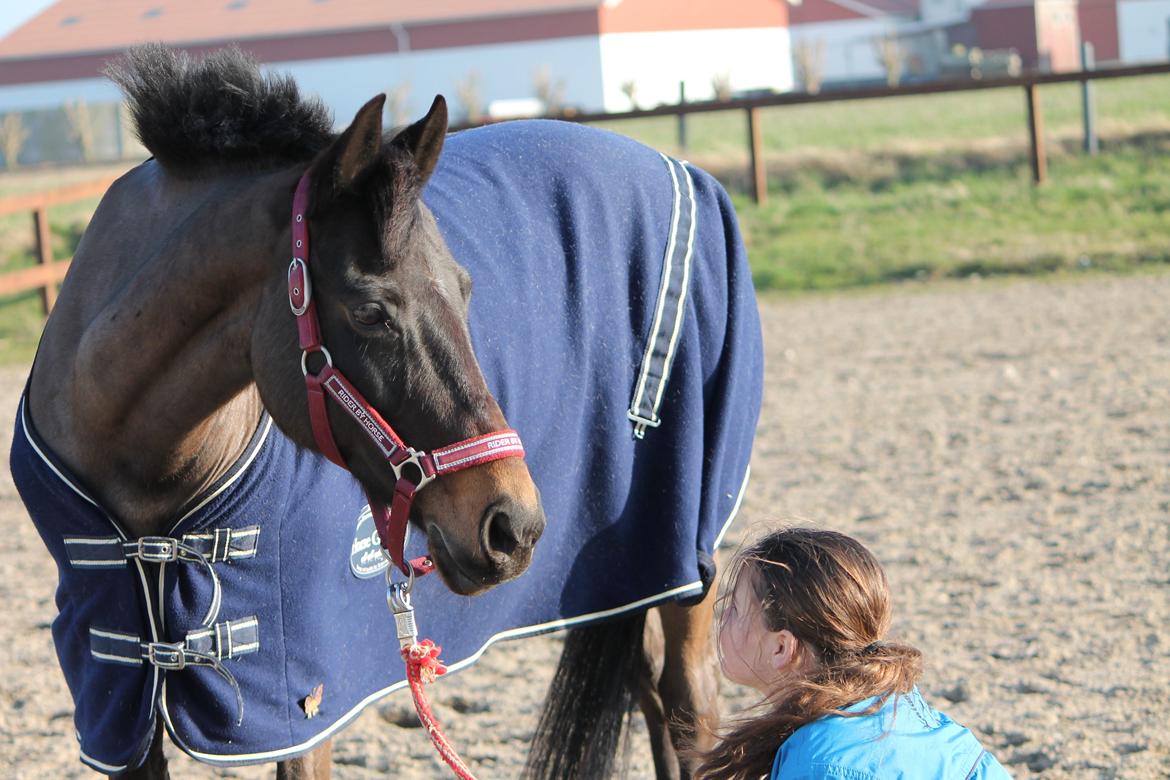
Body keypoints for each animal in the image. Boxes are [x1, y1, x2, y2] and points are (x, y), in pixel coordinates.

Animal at [10, 46, 762, 779]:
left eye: (465, 289)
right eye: (371, 311)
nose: (512, 525)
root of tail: (686, 171)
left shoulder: (302, 695)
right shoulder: (118, 701)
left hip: (685, 551)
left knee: (689, 707)